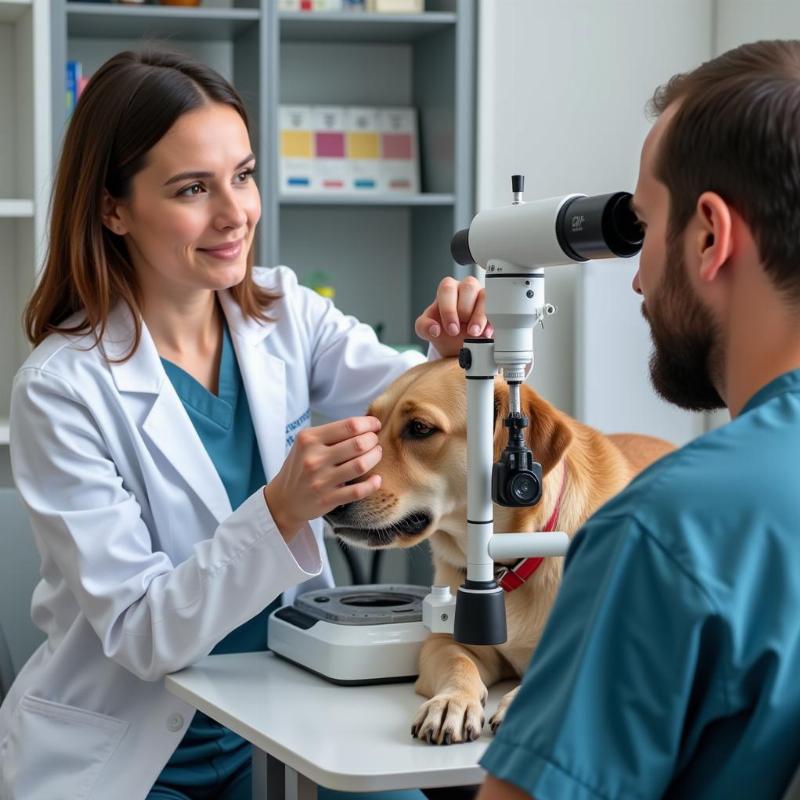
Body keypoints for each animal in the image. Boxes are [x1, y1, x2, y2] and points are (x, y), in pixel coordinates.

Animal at [322, 360, 672, 748]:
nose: (330, 502)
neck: (512, 565)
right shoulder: (445, 642)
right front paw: (452, 703)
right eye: (371, 425)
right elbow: (459, 664)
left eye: (420, 428)